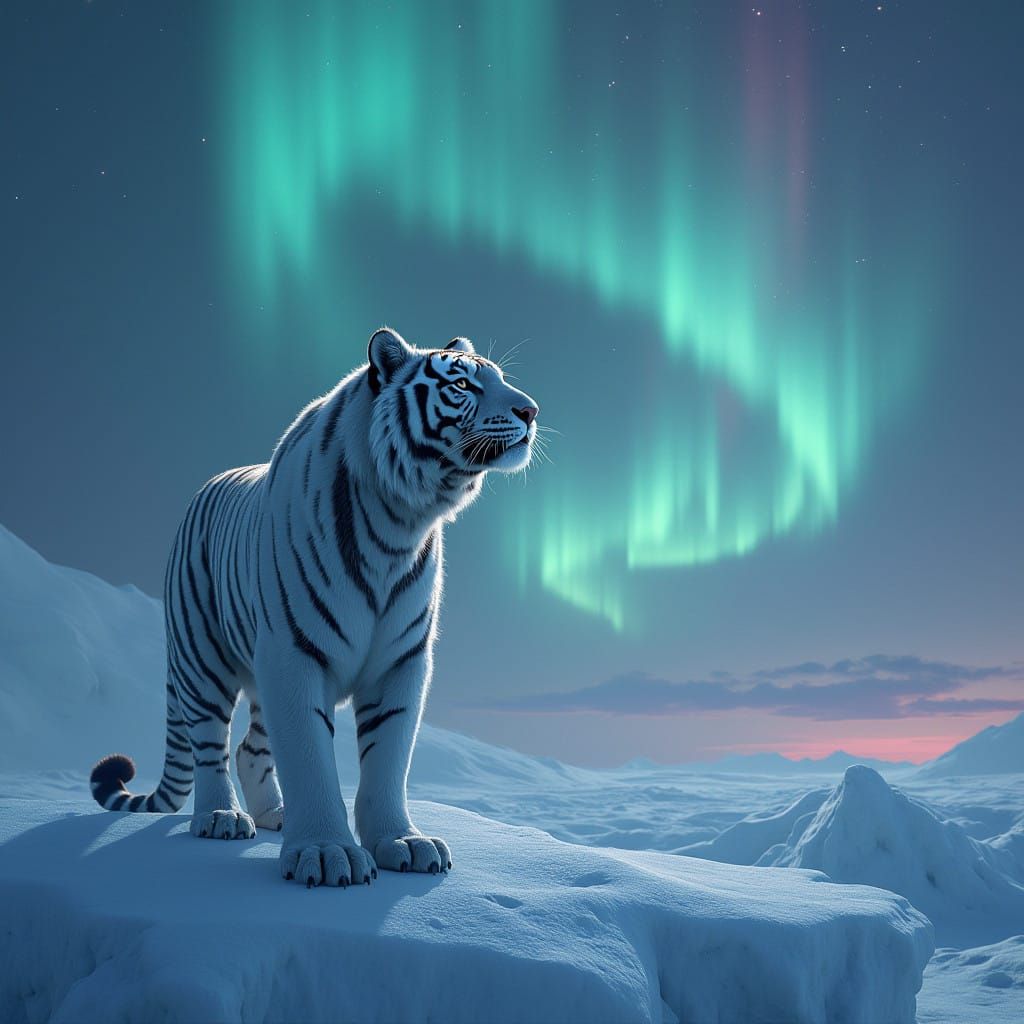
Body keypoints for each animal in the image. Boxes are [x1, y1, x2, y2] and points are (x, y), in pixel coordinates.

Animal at [90, 327, 539, 887]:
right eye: (461, 384)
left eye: (499, 378)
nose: (531, 411)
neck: (401, 522)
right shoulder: (294, 654)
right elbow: (309, 758)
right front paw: (327, 853)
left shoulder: (402, 660)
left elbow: (389, 759)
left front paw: (403, 842)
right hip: (202, 656)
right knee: (210, 743)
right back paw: (221, 817)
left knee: (250, 748)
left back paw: (274, 816)